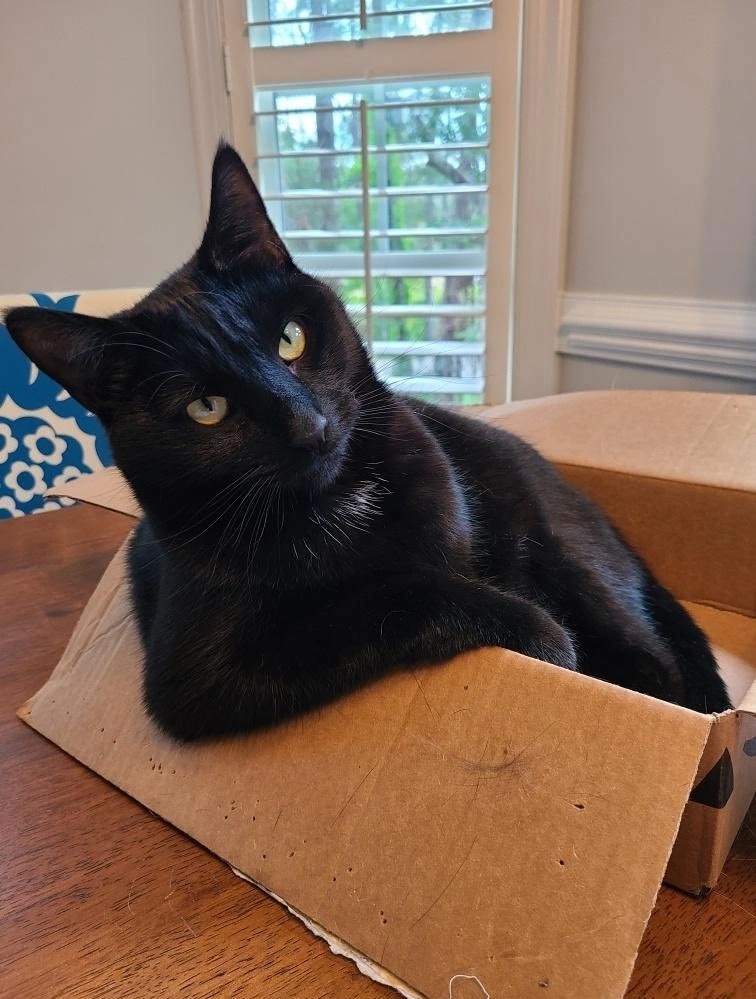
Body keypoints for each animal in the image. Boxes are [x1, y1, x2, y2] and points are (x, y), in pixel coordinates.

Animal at [4, 142, 731, 740]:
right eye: (205, 407)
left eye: (290, 338)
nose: (309, 424)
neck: (342, 502)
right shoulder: (200, 676)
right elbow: (382, 600)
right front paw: (537, 633)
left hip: (566, 548)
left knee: (655, 659)